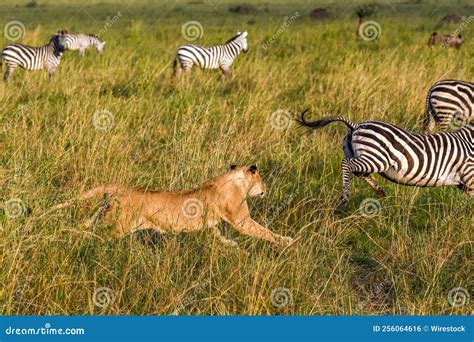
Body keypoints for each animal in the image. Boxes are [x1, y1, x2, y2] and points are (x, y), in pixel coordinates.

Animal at [296, 111, 474, 204]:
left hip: (363, 156)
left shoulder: (465, 183)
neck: (468, 140)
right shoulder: (469, 176)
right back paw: (345, 195)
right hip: (376, 158)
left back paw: (379, 191)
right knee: (347, 164)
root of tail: (355, 126)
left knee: (358, 171)